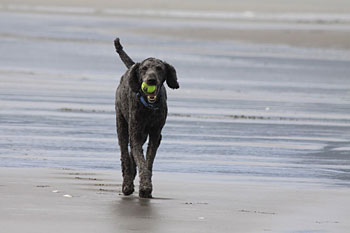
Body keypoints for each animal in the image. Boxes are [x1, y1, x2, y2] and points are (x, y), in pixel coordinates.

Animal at [113, 38, 179, 198]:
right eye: (144, 68)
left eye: (159, 68)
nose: (151, 80)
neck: (149, 108)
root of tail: (131, 66)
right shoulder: (135, 133)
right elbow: (140, 159)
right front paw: (144, 187)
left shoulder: (155, 134)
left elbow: (147, 160)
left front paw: (145, 186)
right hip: (121, 124)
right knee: (124, 153)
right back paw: (127, 184)